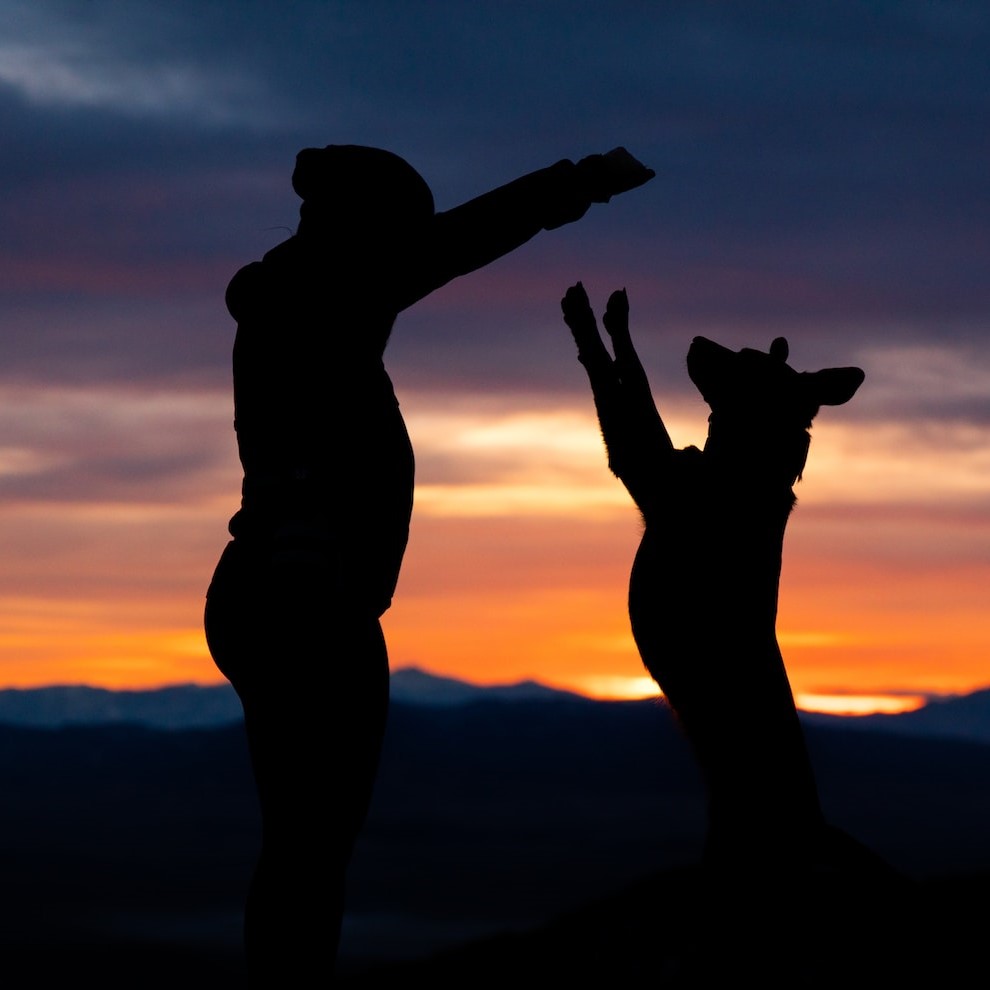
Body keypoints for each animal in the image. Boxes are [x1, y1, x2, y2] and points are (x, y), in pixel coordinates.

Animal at [560, 282, 880, 880]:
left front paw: (595, 318)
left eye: (743, 362)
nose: (697, 341)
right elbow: (629, 377)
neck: (742, 467)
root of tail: (809, 827)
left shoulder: (645, 466)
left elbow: (625, 381)